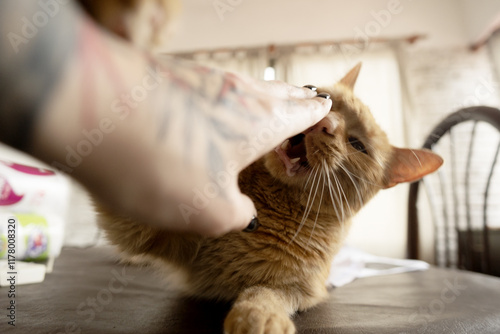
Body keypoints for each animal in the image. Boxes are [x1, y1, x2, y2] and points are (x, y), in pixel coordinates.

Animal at [96, 64, 442, 332]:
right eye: (324, 98)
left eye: (358, 145)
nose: (325, 122)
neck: (270, 206)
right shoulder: (147, 230)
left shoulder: (296, 289)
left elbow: (263, 295)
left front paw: (257, 319)